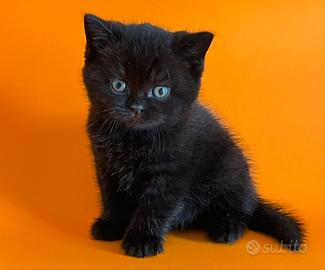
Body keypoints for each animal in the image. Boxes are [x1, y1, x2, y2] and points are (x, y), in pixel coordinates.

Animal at [82, 14, 302, 258]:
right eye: (118, 85)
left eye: (160, 91)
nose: (136, 107)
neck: (134, 138)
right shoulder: (104, 163)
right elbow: (110, 194)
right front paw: (112, 224)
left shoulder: (174, 172)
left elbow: (156, 204)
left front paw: (142, 239)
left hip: (230, 169)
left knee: (240, 209)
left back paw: (226, 227)